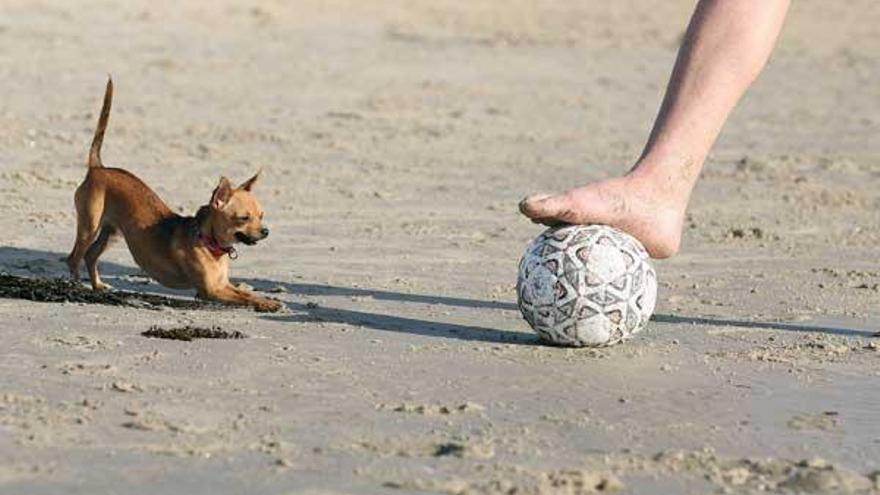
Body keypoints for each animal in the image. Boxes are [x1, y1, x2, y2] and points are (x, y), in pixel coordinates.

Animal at [67, 79, 284, 312]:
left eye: (261, 216)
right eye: (243, 218)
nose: (266, 231)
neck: (208, 242)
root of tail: (98, 168)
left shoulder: (223, 285)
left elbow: (248, 294)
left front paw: (268, 300)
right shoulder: (211, 292)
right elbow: (246, 298)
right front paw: (266, 304)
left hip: (113, 232)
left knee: (90, 256)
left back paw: (97, 285)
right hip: (89, 228)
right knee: (74, 258)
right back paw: (76, 286)